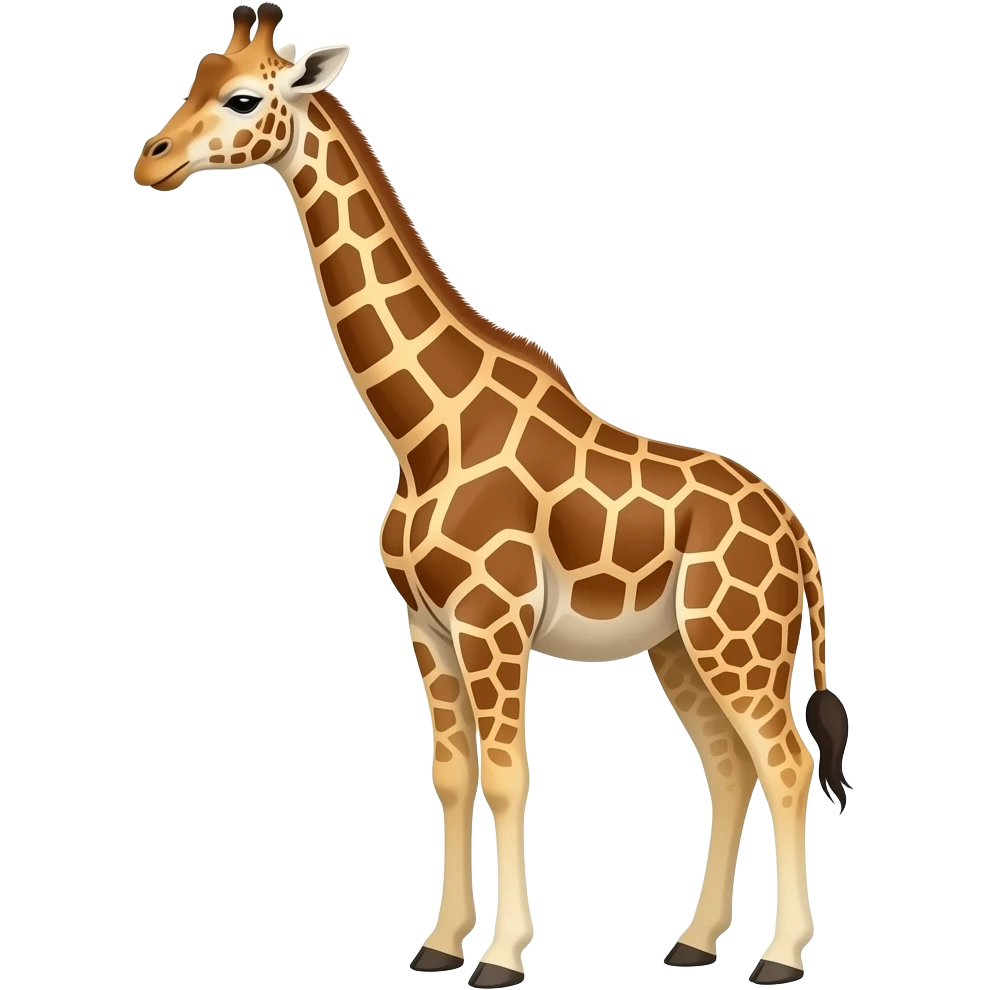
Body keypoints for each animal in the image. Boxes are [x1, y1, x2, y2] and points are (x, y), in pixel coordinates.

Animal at [132, 6, 852, 986]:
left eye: (244, 97)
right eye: (196, 77)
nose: (152, 159)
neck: (420, 430)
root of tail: (798, 534)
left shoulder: (492, 619)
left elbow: (511, 775)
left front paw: (503, 956)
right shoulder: (427, 628)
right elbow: (452, 776)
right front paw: (439, 943)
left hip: (737, 640)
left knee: (785, 762)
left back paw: (779, 958)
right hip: (679, 645)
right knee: (729, 764)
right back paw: (695, 942)